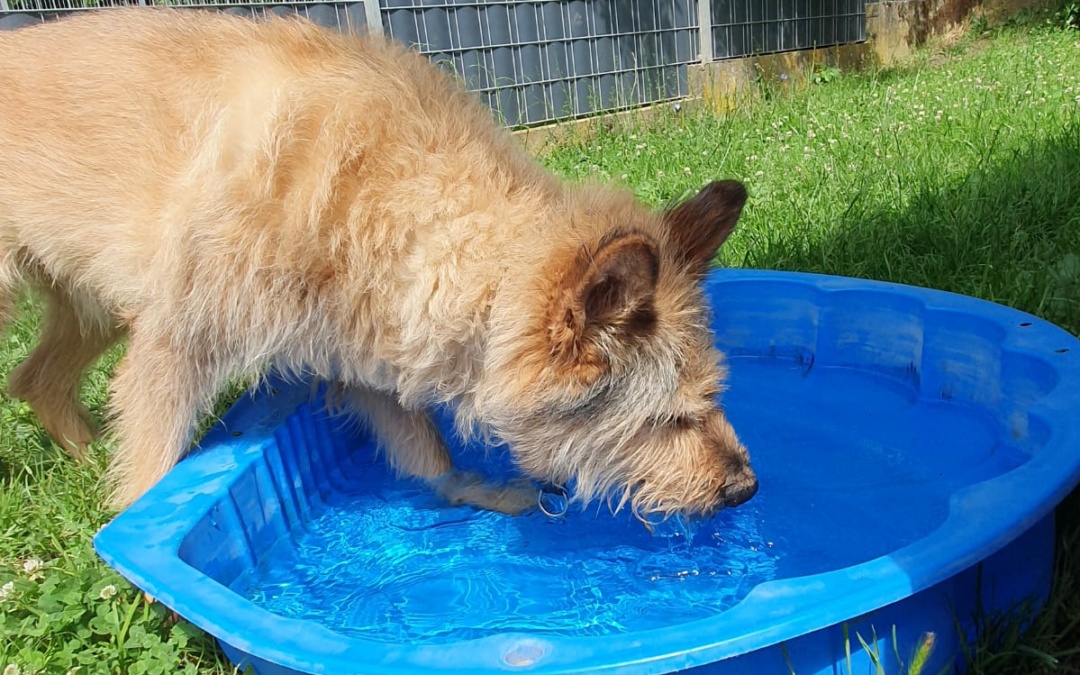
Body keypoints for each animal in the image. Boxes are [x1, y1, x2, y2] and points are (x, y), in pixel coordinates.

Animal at [0, 7, 760, 518]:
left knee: (36, 378)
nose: (747, 488)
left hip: (94, 305)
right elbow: (150, 479)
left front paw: (475, 491)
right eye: (668, 419)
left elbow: (428, 452)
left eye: (714, 397)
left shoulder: (353, 356)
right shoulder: (173, 345)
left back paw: (84, 460)